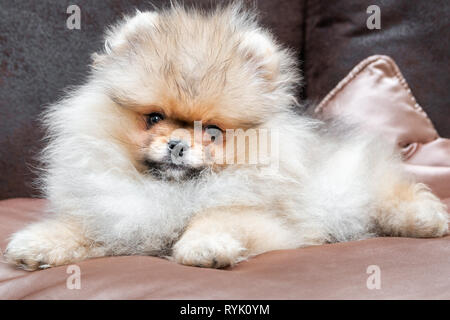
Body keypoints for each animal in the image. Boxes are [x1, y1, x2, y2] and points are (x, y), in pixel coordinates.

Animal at [3, 4, 446, 270]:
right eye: (154, 118)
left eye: (213, 132)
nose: (177, 144)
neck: (172, 192)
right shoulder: (119, 216)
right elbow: (82, 227)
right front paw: (38, 243)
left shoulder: (268, 220)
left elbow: (217, 216)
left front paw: (204, 246)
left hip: (362, 182)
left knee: (396, 196)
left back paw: (427, 220)